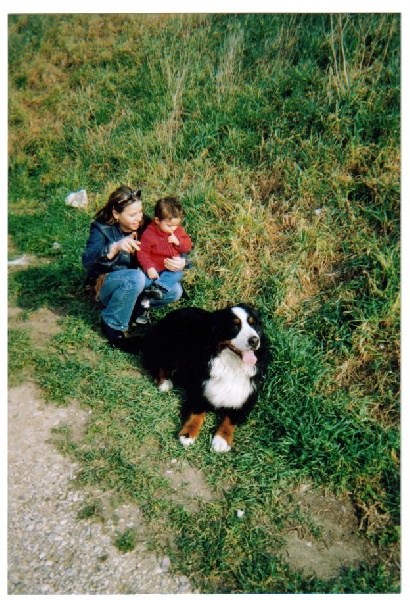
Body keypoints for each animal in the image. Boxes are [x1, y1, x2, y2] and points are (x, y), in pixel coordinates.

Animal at [141, 303, 267, 452]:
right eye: (235, 326)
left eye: (254, 324)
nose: (254, 340)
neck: (230, 365)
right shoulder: (199, 389)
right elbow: (196, 412)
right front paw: (188, 434)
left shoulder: (247, 397)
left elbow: (230, 419)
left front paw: (222, 440)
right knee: (155, 361)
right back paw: (164, 382)